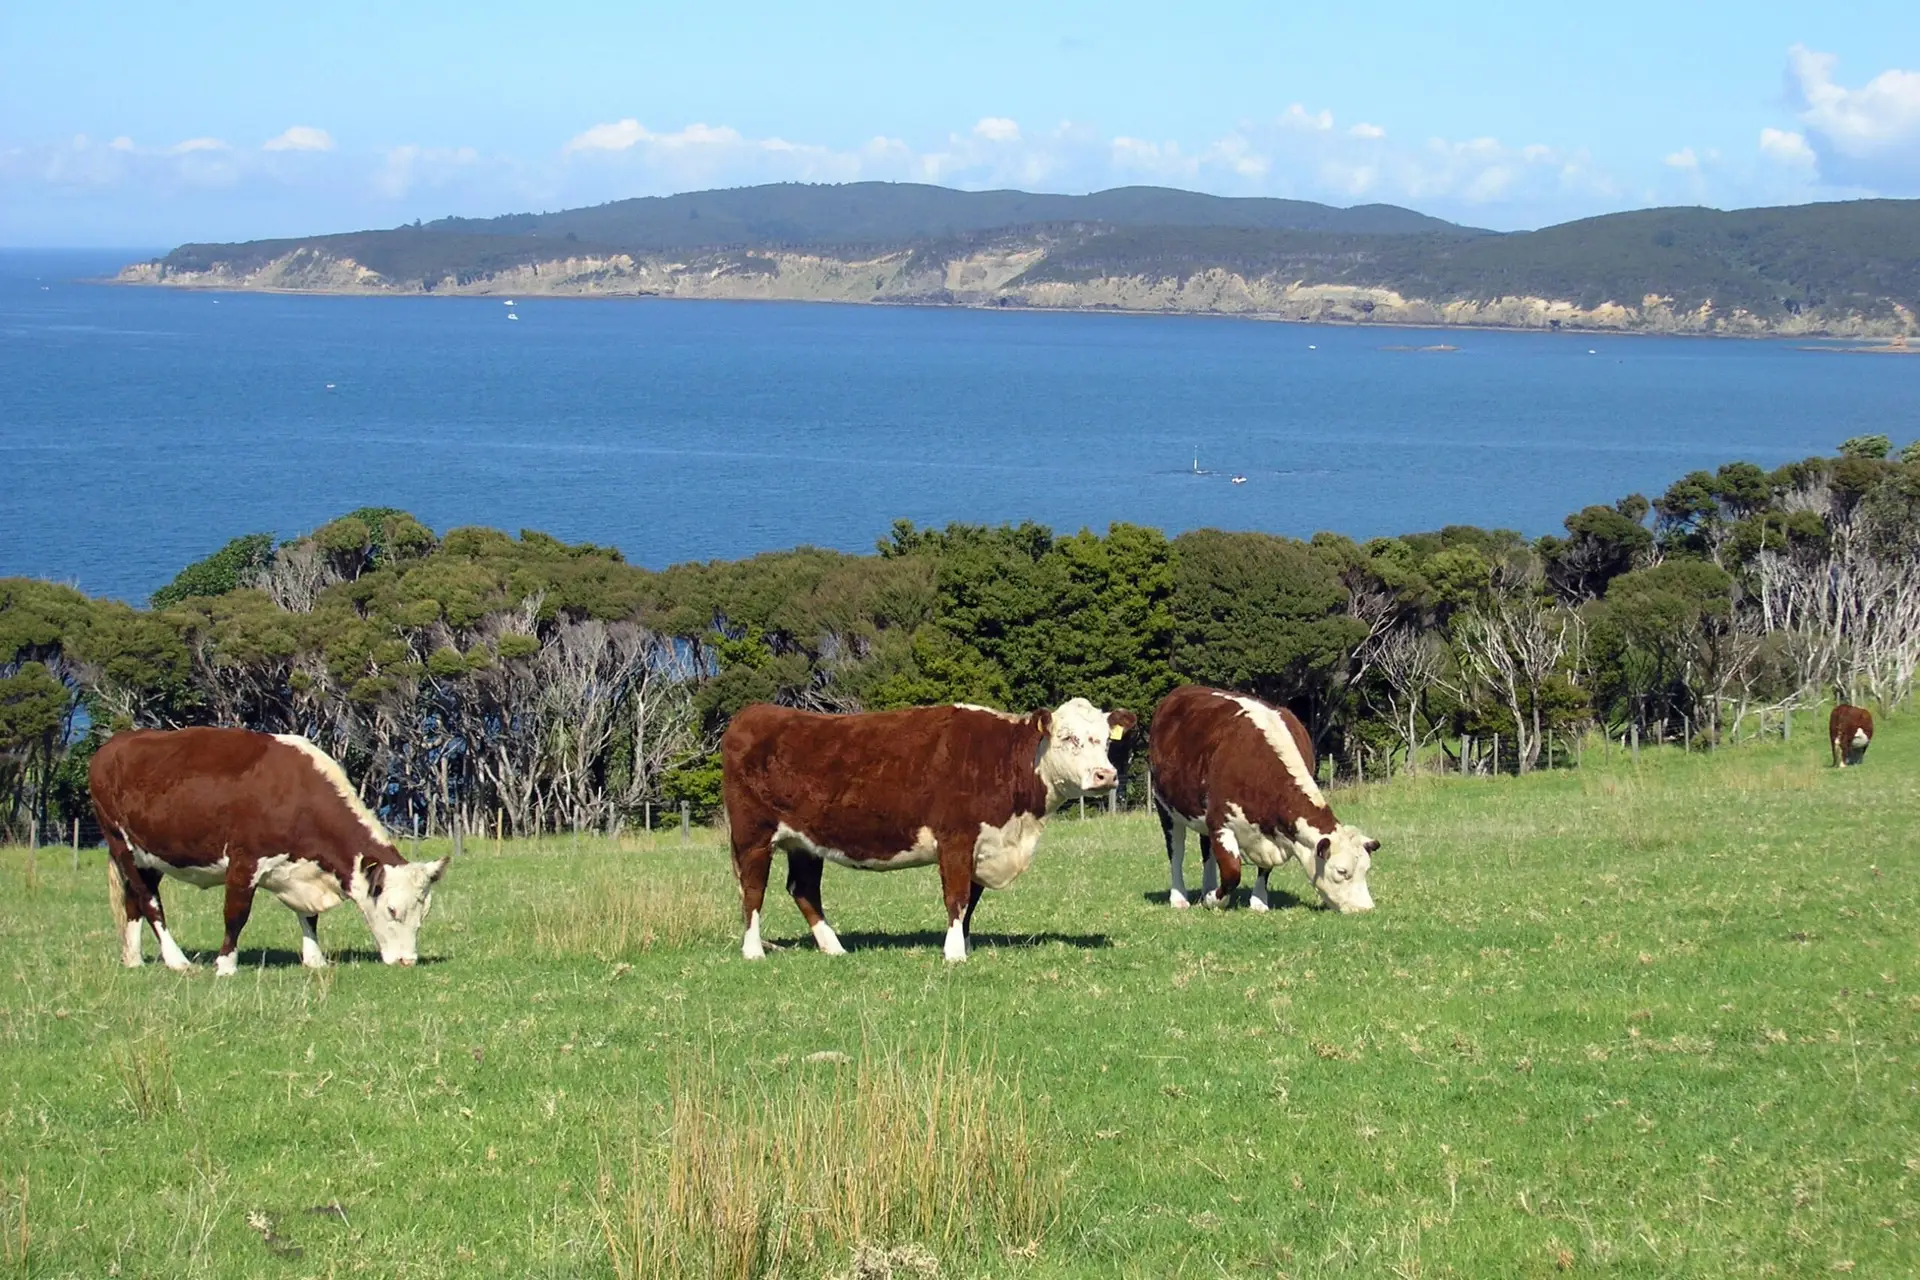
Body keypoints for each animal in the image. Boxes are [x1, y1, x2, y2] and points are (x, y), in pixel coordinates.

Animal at [89, 727, 449, 974]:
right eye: (392, 909)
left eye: (424, 912)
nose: (407, 960)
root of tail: (115, 744)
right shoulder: (244, 862)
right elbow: (236, 914)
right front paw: (226, 964)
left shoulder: (303, 870)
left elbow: (309, 916)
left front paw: (315, 959)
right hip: (122, 844)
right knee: (149, 903)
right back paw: (177, 960)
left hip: (148, 858)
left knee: (134, 901)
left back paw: (134, 959)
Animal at [721, 697, 1137, 962]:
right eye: (1068, 737)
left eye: (1105, 739)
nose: (1106, 775)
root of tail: (754, 713)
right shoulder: (955, 839)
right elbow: (956, 897)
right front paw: (954, 954)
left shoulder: (982, 846)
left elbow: (970, 902)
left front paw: (964, 943)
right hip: (753, 835)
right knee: (754, 890)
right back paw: (753, 951)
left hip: (805, 842)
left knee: (803, 889)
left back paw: (833, 948)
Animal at [1148, 684, 1377, 913]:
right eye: (1341, 871)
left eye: (1366, 869)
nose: (1365, 908)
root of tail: (1182, 690)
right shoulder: (1220, 823)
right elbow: (1232, 872)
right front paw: (1215, 899)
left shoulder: (1268, 834)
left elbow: (1265, 869)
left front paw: (1258, 902)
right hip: (1164, 806)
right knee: (1176, 852)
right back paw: (1179, 898)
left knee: (1207, 850)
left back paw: (1207, 887)